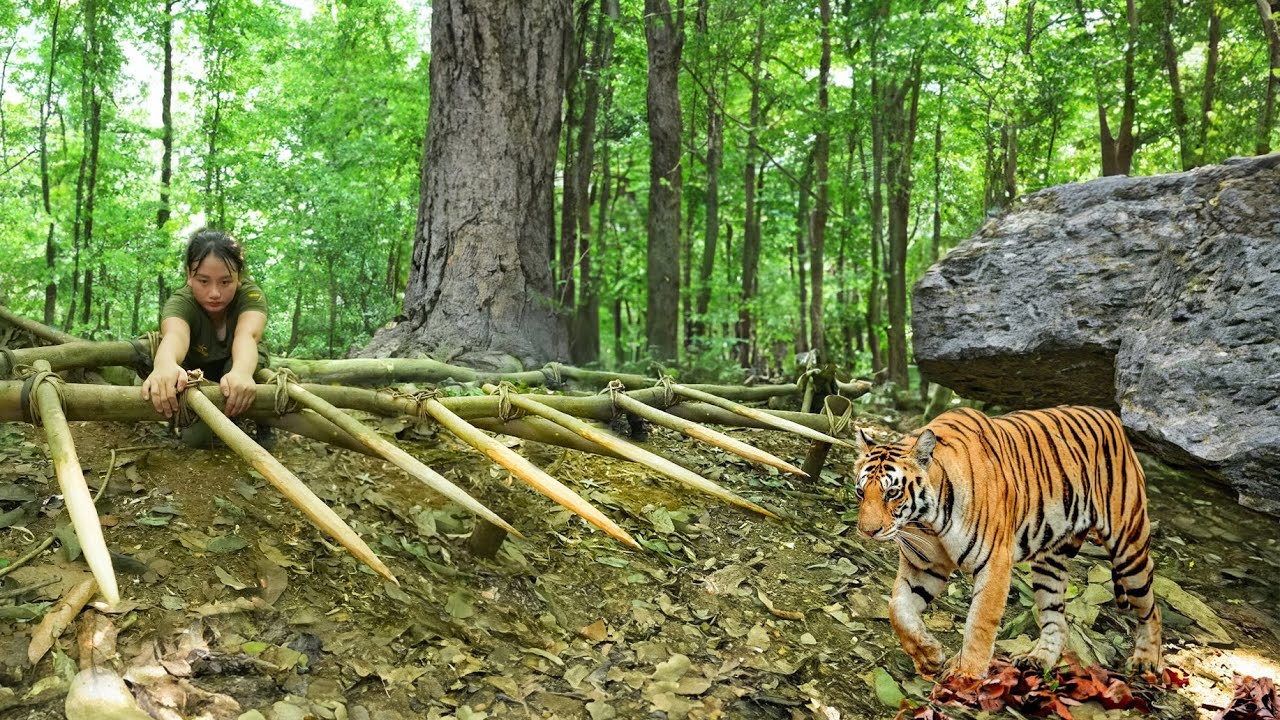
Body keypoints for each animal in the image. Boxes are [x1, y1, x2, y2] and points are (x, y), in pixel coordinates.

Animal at [850, 405, 1162, 679]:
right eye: (860, 492)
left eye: (892, 493)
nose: (867, 531)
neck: (926, 520)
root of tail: (1112, 416)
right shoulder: (923, 566)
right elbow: (897, 608)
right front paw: (928, 655)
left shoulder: (995, 562)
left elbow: (979, 621)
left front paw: (967, 672)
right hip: (1050, 564)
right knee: (1056, 620)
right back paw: (1038, 659)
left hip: (1129, 549)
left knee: (1151, 607)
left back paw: (1146, 660)